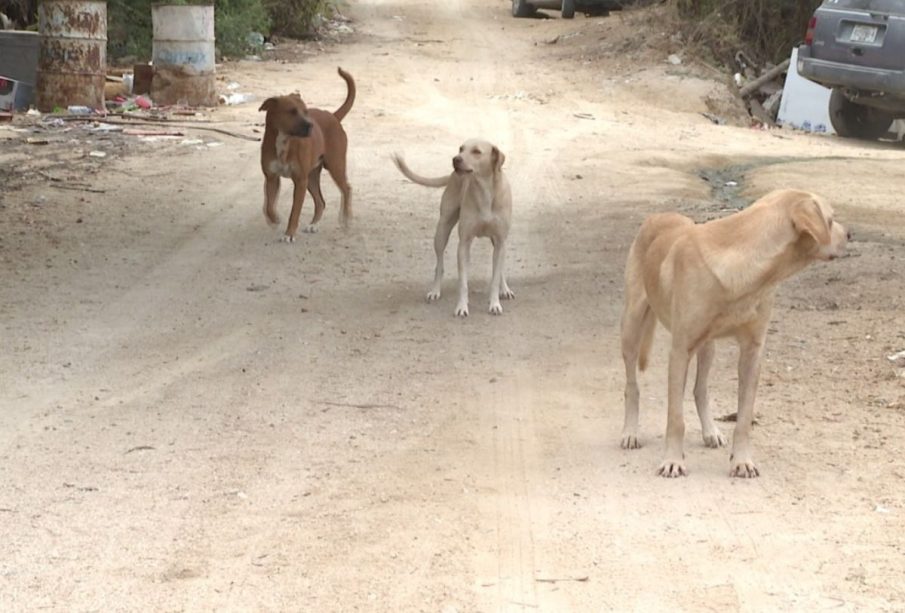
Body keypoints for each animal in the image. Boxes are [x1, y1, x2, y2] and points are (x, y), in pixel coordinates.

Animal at [256, 67, 354, 239]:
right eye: (291, 111)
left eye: (306, 111)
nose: (310, 126)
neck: (284, 141)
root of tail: (333, 116)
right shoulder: (271, 178)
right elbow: (269, 205)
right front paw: (274, 219)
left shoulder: (300, 181)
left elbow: (294, 212)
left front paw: (289, 233)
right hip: (312, 177)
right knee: (320, 202)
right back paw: (314, 224)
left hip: (335, 166)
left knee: (347, 189)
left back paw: (345, 219)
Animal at [392, 140, 512, 316]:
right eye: (461, 148)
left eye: (477, 151)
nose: (456, 159)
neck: (484, 191)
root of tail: (451, 175)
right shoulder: (464, 243)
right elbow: (463, 282)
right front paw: (462, 306)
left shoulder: (500, 240)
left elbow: (495, 277)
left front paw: (495, 303)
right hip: (442, 230)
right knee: (439, 265)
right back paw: (435, 290)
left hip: (497, 242)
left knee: (500, 265)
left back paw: (505, 288)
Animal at [620, 189, 848, 476]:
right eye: (831, 220)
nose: (850, 235)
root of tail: (658, 215)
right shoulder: (680, 350)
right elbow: (675, 418)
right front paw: (673, 460)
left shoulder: (752, 352)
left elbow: (744, 419)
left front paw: (742, 460)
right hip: (632, 327)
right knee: (633, 387)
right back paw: (630, 432)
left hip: (707, 347)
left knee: (700, 390)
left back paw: (710, 431)